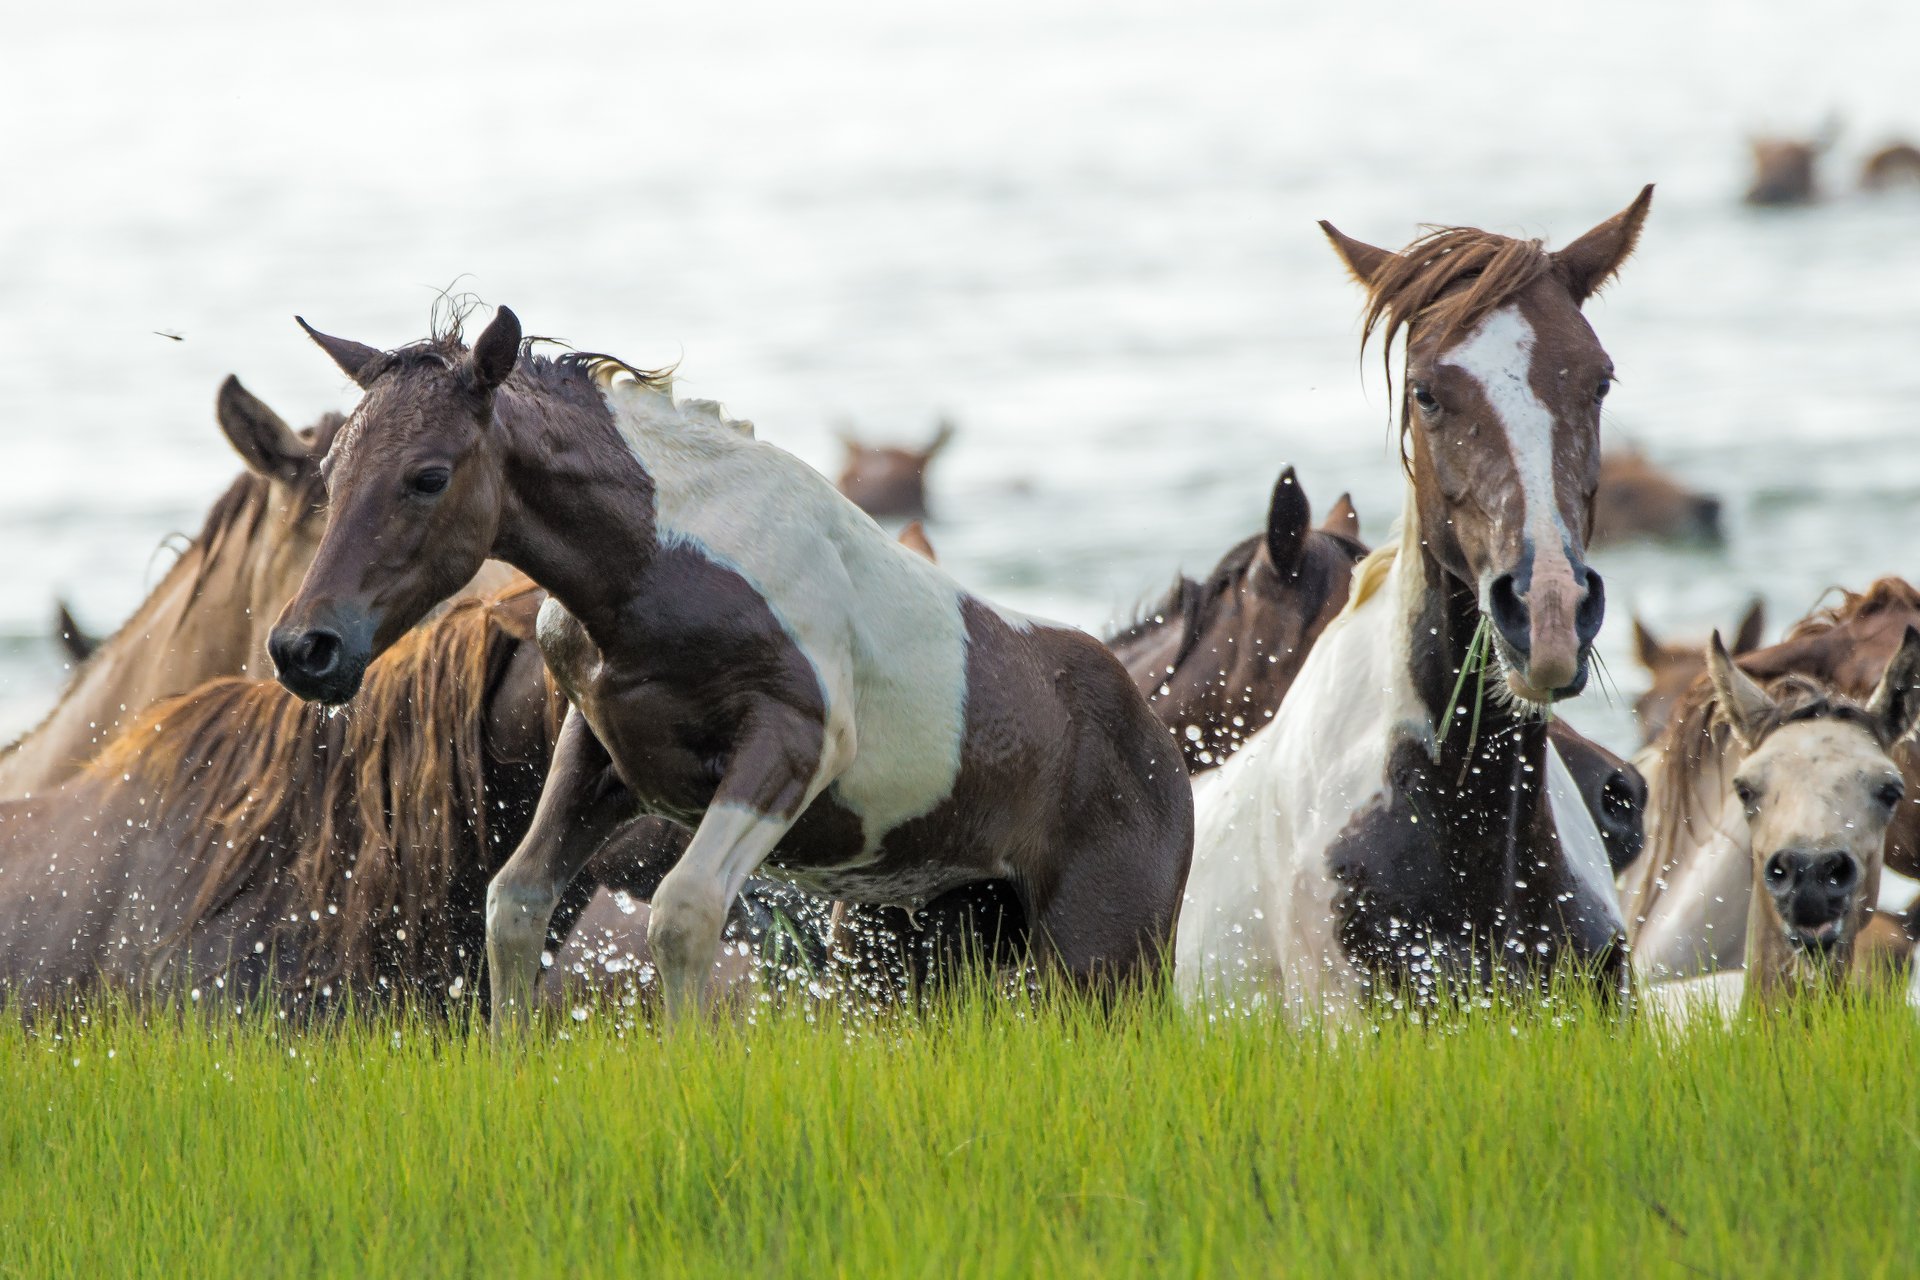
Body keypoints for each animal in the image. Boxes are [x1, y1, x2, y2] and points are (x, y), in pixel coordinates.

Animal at [270, 314, 1198, 1028]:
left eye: (428, 476)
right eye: (332, 472)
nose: (304, 647)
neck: (661, 564)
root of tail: (1160, 742)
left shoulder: (790, 744)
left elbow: (684, 914)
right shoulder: (599, 753)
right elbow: (516, 904)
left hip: (1104, 965)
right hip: (913, 952)